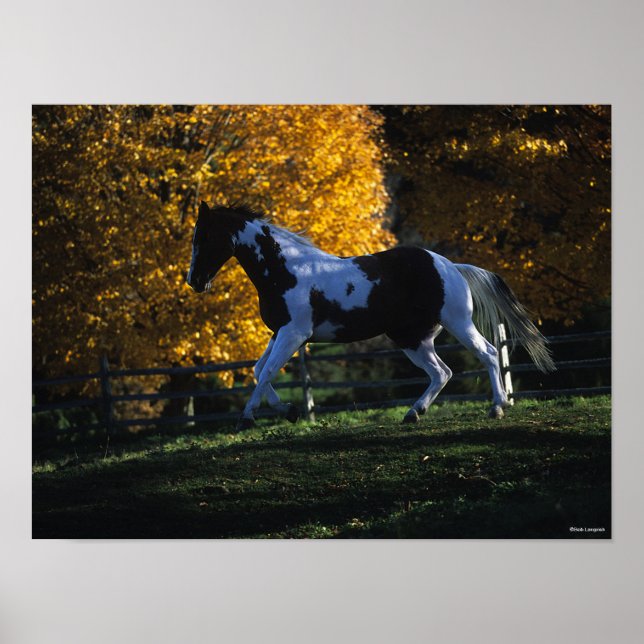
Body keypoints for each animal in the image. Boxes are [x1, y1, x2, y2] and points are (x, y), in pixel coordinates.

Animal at [187, 202, 555, 430]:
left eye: (204, 236)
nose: (194, 282)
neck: (284, 270)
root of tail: (450, 266)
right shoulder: (280, 333)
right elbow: (258, 370)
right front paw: (289, 411)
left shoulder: (294, 334)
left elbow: (265, 373)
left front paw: (247, 418)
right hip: (413, 339)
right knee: (441, 372)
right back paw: (413, 413)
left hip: (457, 323)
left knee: (488, 354)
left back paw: (497, 407)